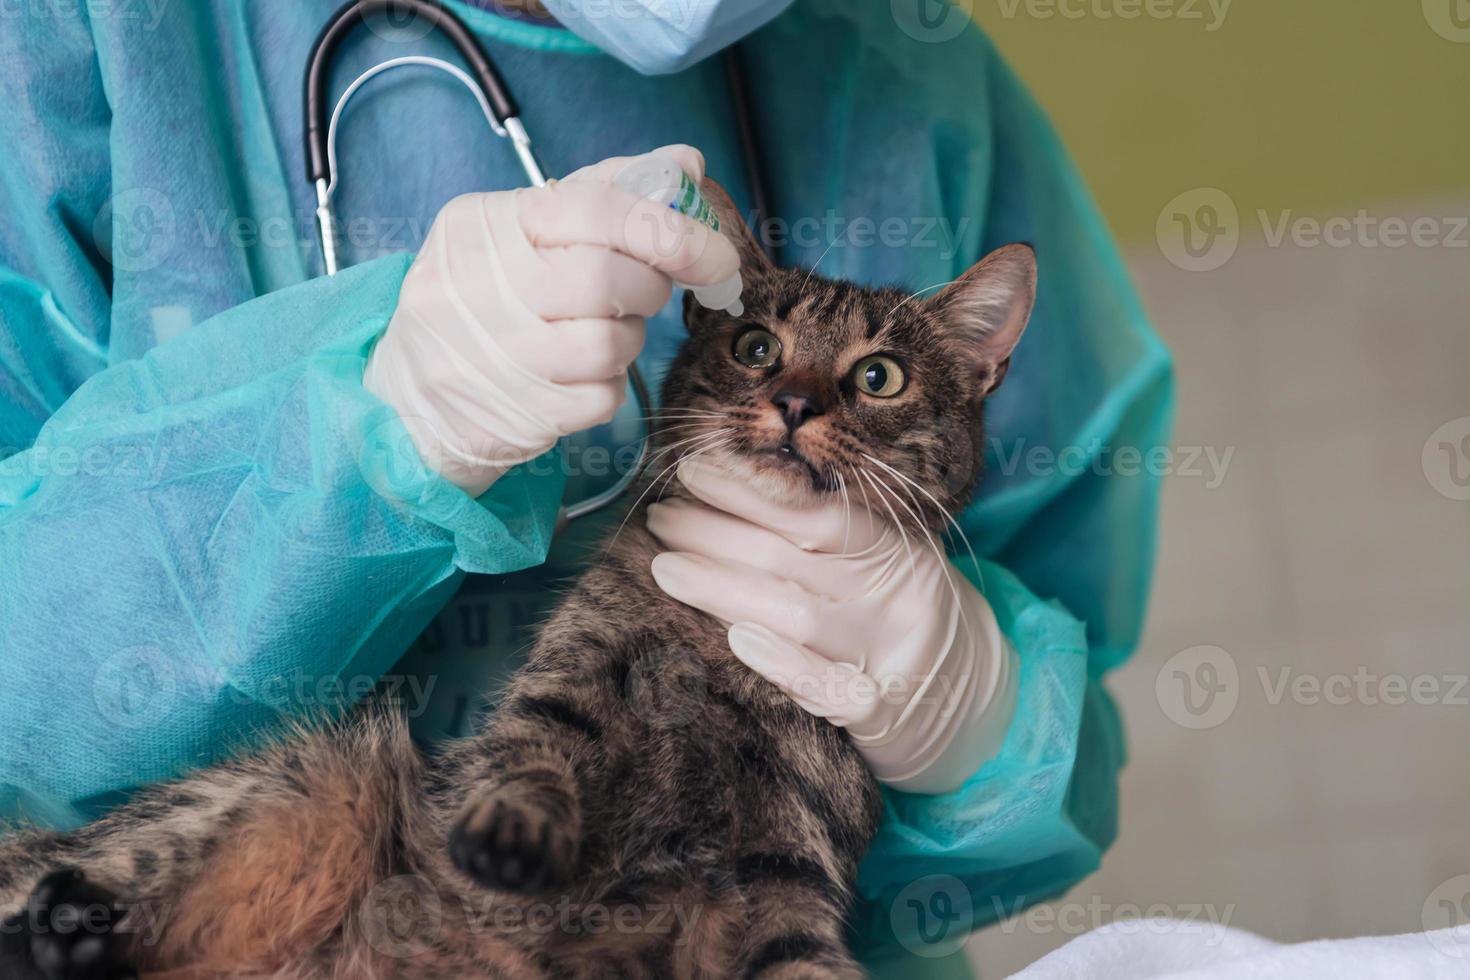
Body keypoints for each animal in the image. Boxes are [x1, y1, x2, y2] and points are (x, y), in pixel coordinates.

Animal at [0, 179, 1034, 975]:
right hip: (307, 779)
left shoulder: (789, 878)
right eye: (755, 348)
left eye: (878, 377)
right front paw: (513, 830)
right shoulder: (562, 690)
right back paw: (65, 930)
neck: (715, 652)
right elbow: (530, 762)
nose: (792, 402)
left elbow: (802, 960)